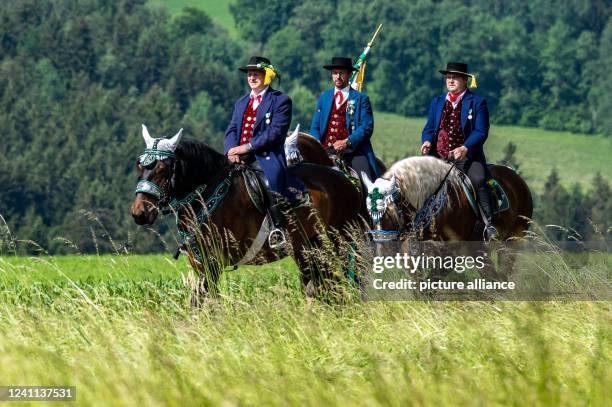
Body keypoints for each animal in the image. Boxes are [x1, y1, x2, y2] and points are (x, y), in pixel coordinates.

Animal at [132, 126, 364, 304]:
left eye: (162, 169)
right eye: (139, 165)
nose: (139, 213)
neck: (206, 195)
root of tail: (345, 180)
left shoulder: (213, 262)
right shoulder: (200, 264)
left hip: (340, 244)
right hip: (308, 250)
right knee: (322, 288)